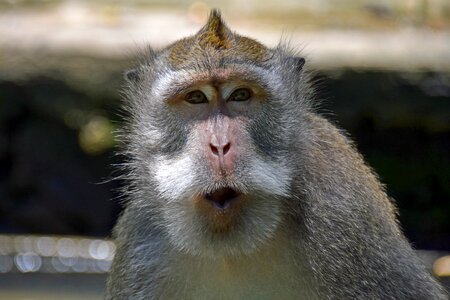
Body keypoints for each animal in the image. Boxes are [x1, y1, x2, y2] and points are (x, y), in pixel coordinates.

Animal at [105, 9, 446, 300]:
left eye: (241, 94)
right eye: (196, 98)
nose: (220, 145)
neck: (231, 250)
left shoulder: (343, 213)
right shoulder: (144, 245)